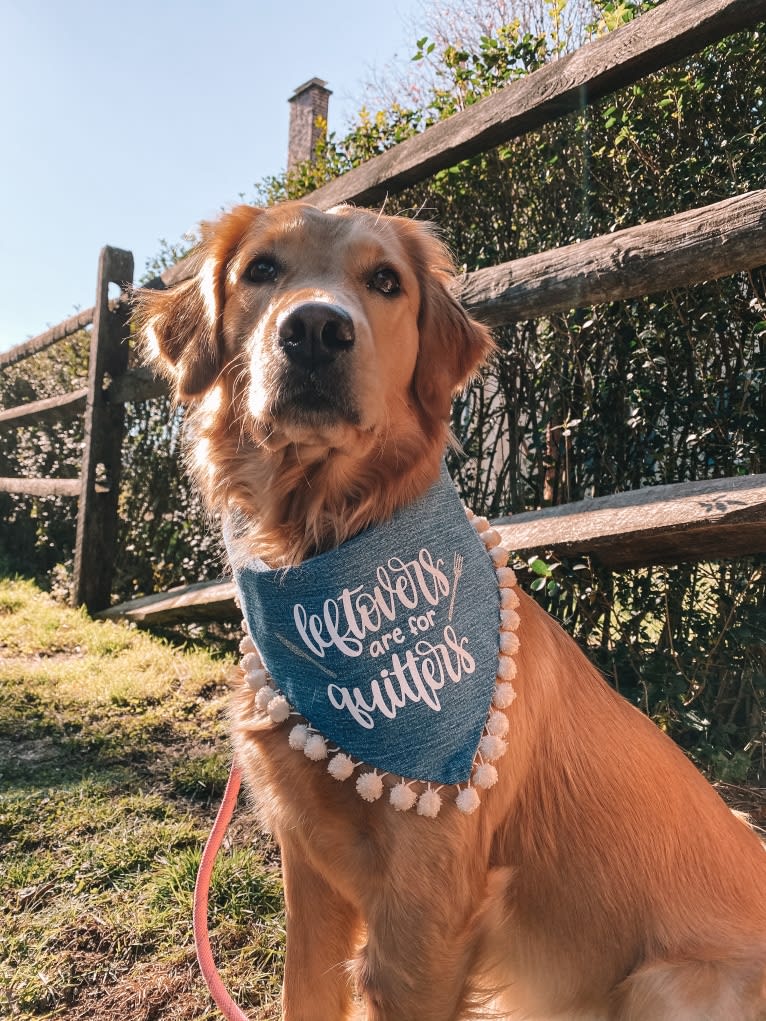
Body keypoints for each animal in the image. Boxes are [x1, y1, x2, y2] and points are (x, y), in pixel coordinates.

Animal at [136, 201, 766, 1021]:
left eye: (385, 281)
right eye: (262, 270)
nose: (316, 329)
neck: (326, 546)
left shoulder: (425, 905)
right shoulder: (308, 865)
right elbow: (303, 992)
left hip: (669, 983)